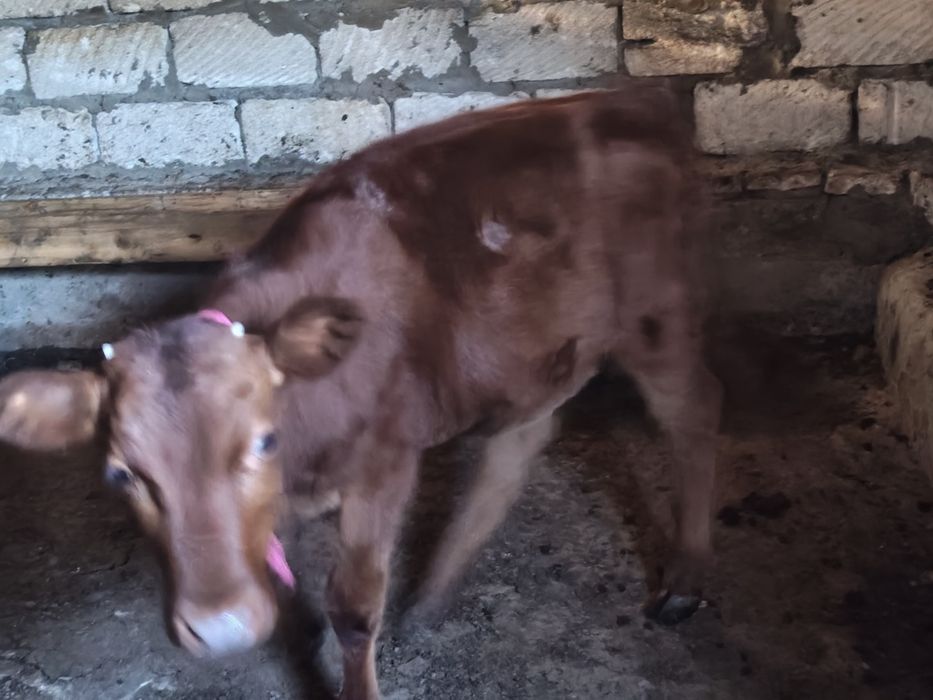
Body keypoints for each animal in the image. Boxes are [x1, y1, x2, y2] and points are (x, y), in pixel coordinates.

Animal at [0, 81, 721, 700]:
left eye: (263, 442)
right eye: (121, 475)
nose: (222, 627)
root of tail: (630, 98)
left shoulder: (383, 465)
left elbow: (351, 606)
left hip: (657, 316)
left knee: (692, 422)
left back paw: (685, 579)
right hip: (537, 347)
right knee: (520, 441)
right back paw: (432, 595)